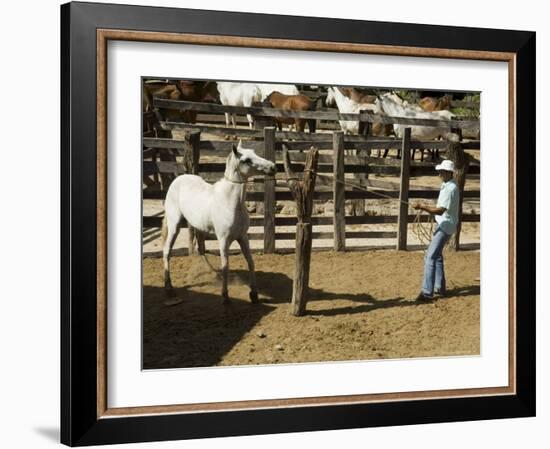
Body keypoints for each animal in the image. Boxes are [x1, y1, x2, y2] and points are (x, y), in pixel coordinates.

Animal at [162, 140, 278, 300]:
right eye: (246, 160)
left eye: (254, 152)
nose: (273, 167)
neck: (231, 202)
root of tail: (177, 180)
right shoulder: (223, 240)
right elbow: (225, 267)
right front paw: (225, 296)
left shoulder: (242, 237)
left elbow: (250, 262)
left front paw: (254, 294)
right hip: (174, 226)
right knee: (167, 251)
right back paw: (169, 288)